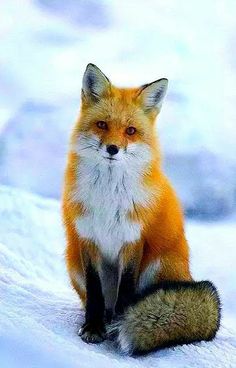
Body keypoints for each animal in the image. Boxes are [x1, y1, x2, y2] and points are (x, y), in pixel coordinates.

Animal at [61, 63, 220, 354]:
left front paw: (119, 326)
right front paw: (93, 327)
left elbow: (126, 289)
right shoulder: (88, 239)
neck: (108, 197)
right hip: (72, 261)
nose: (112, 149)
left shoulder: (133, 240)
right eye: (102, 125)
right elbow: (95, 291)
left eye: (130, 131)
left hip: (156, 265)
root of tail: (187, 274)